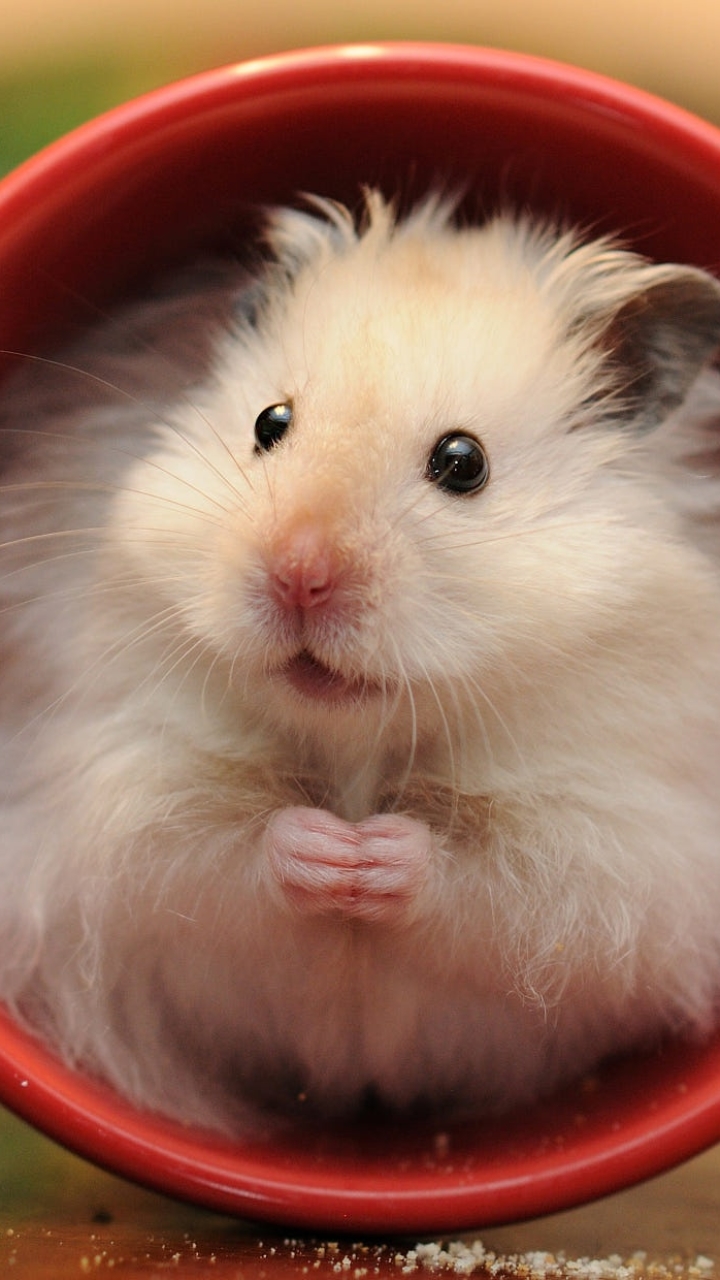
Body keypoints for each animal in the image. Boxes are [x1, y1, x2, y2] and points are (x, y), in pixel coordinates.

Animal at [1, 188, 720, 1135]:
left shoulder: (614, 853)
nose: (298, 575)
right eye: (268, 424)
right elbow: (217, 852)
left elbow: (496, 889)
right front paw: (327, 852)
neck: (356, 742)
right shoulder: (127, 797)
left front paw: (370, 855)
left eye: (463, 462)